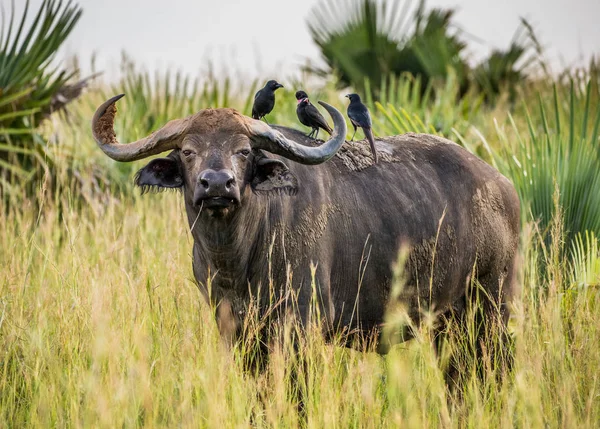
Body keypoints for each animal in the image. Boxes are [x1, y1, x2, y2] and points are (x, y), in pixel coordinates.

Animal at [91, 93, 516, 362]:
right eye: (187, 151)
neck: (237, 259)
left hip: (492, 312)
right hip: (448, 326)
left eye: (244, 151)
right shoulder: (234, 330)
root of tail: (501, 186)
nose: (217, 184)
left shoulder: (300, 329)